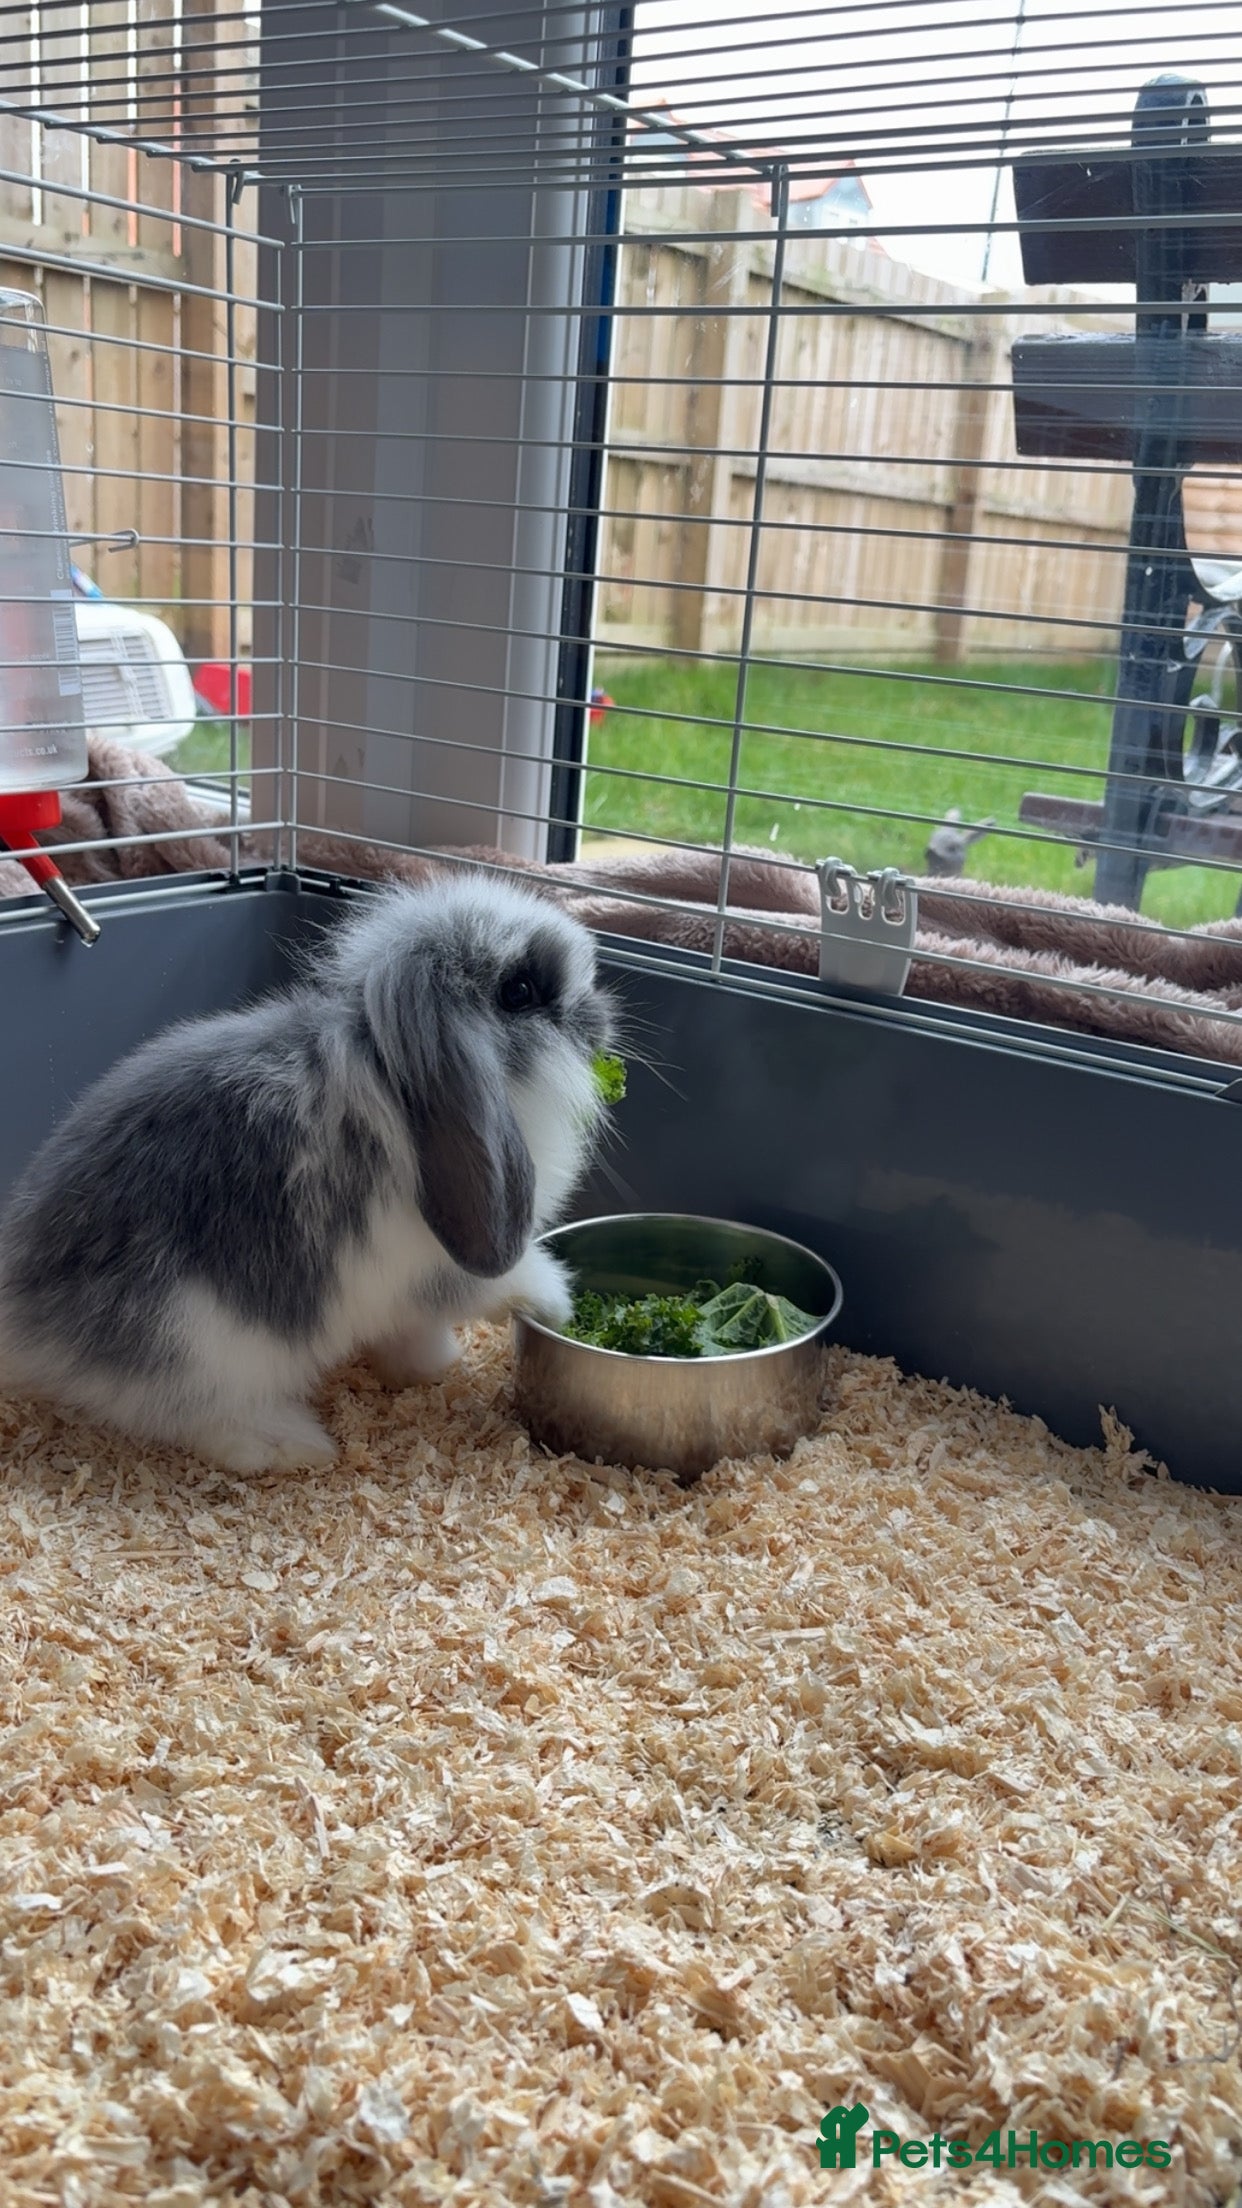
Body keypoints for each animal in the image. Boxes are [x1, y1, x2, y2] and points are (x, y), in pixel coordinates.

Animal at [0, 876, 615, 1472]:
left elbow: (410, 1333)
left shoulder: (404, 1298)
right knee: (192, 1410)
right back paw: (290, 1446)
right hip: (200, 1337)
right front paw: (556, 1301)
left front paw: (429, 1368)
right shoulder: (439, 1266)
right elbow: (501, 1282)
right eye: (519, 992)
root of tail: (25, 1317)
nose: (601, 1016)